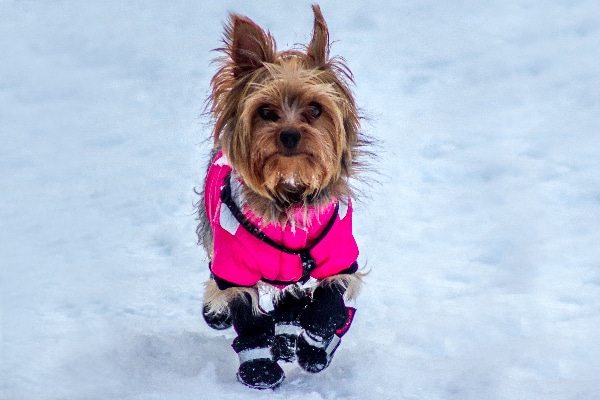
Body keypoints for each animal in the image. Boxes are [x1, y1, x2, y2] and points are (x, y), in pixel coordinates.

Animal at [195, 4, 368, 390]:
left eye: (316, 109)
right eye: (265, 112)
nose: (289, 135)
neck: (289, 192)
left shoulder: (339, 254)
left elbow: (328, 306)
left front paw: (314, 346)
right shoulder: (233, 266)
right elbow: (247, 315)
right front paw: (259, 370)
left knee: (293, 299)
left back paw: (291, 339)